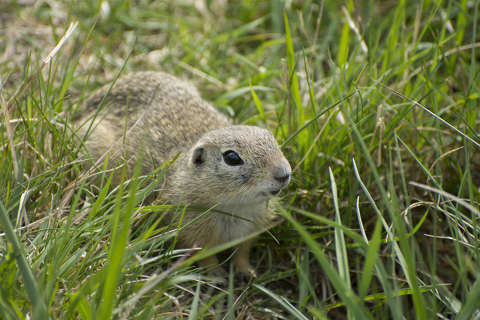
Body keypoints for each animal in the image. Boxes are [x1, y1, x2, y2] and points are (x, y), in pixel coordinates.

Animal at [77, 72, 290, 276]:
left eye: (272, 139)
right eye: (231, 157)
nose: (284, 174)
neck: (235, 207)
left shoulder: (251, 228)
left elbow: (242, 252)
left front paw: (247, 272)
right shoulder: (190, 230)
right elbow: (203, 254)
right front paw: (216, 274)